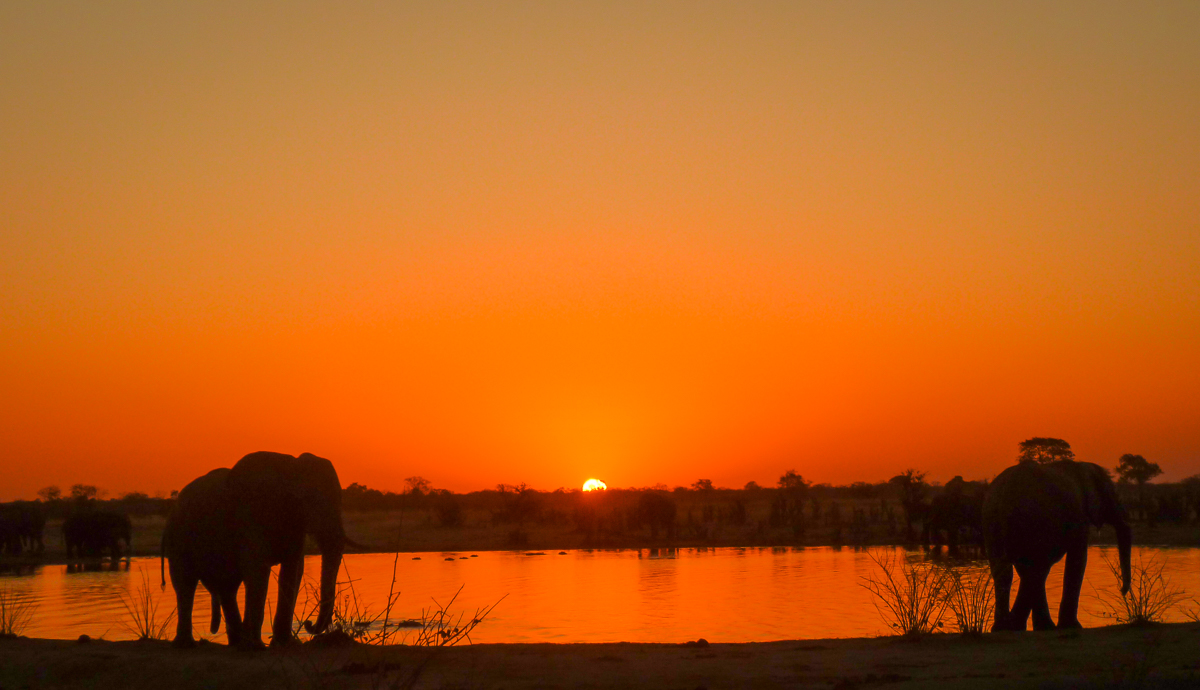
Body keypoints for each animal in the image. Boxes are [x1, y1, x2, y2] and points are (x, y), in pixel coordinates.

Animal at [162, 451, 348, 652]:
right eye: (309, 500)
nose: (309, 624)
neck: (290, 467)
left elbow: (293, 570)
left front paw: (285, 644)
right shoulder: (251, 517)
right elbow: (258, 570)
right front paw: (258, 647)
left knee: (227, 587)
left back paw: (237, 644)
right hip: (178, 537)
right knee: (185, 583)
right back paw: (187, 645)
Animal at [984, 460, 1123, 633]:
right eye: (1111, 494)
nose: (1123, 590)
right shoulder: (1078, 517)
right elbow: (1078, 558)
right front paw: (1072, 627)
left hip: (995, 522)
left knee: (1008, 570)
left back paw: (1005, 627)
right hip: (1032, 520)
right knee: (1035, 568)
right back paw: (1022, 626)